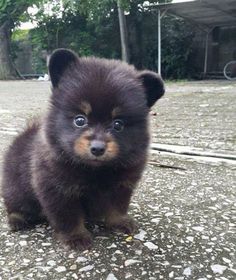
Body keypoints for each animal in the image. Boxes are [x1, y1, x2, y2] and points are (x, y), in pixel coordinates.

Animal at [1, 48, 164, 249]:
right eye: (80, 120)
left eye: (118, 124)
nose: (98, 148)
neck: (95, 170)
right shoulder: (58, 189)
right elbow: (68, 217)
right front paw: (76, 237)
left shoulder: (121, 185)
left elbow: (117, 207)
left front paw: (120, 222)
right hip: (15, 189)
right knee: (16, 206)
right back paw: (17, 220)